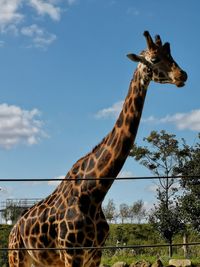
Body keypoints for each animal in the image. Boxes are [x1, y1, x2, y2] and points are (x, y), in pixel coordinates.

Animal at [8, 30, 188, 266]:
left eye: (171, 56)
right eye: (156, 59)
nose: (182, 75)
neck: (95, 192)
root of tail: (13, 229)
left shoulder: (95, 253)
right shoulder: (72, 253)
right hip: (17, 255)